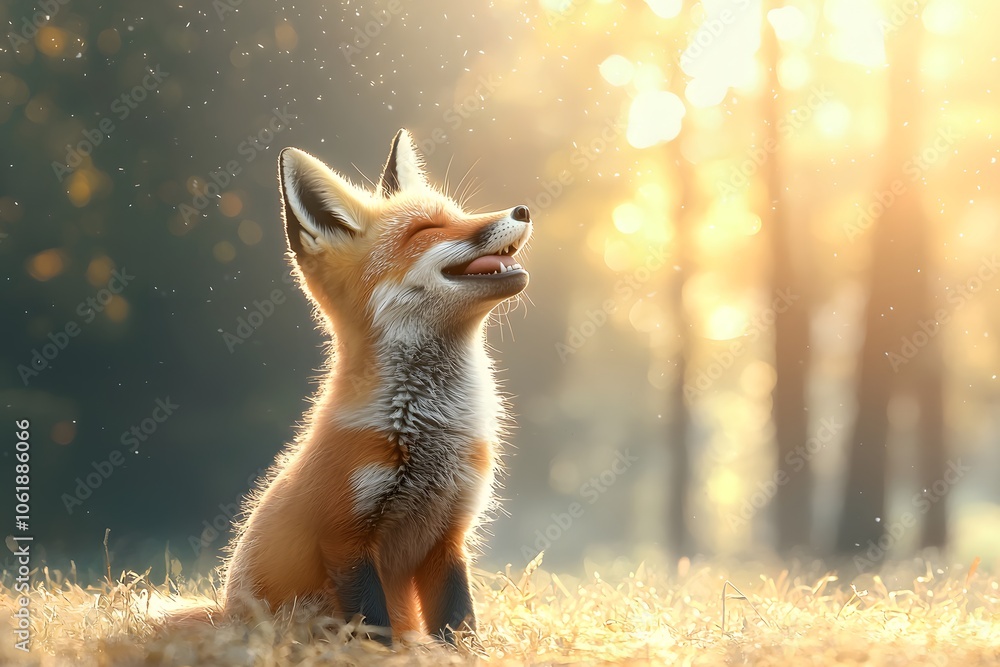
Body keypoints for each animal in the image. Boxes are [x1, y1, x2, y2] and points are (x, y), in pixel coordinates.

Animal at [209, 129, 532, 644]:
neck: (429, 430)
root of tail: (220, 616)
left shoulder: (448, 537)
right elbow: (374, 625)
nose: (523, 210)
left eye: (459, 214)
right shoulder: (345, 538)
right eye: (426, 230)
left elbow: (459, 623)